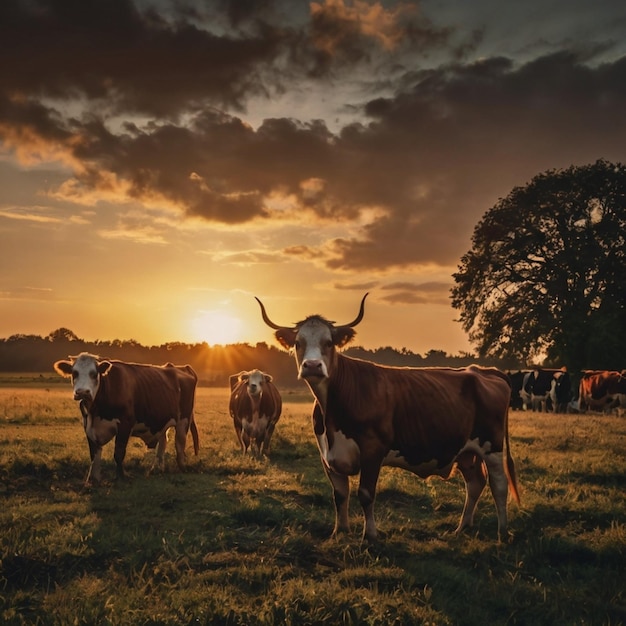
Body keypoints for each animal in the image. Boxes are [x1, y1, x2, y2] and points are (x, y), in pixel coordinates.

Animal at [56, 352, 199, 482]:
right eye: (74, 373)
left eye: (94, 373)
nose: (82, 392)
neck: (96, 411)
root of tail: (182, 368)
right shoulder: (88, 426)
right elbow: (94, 454)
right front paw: (92, 480)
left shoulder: (125, 424)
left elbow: (118, 453)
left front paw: (121, 477)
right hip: (161, 420)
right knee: (163, 441)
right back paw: (157, 469)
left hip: (183, 421)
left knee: (179, 444)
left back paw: (182, 468)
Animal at [256, 292, 520, 540]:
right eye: (298, 343)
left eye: (329, 343)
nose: (312, 366)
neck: (332, 412)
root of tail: (483, 370)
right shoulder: (327, 455)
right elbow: (340, 495)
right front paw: (340, 532)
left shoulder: (372, 450)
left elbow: (365, 494)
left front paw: (370, 535)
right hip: (465, 450)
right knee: (475, 483)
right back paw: (462, 527)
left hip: (491, 445)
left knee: (499, 485)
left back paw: (503, 532)